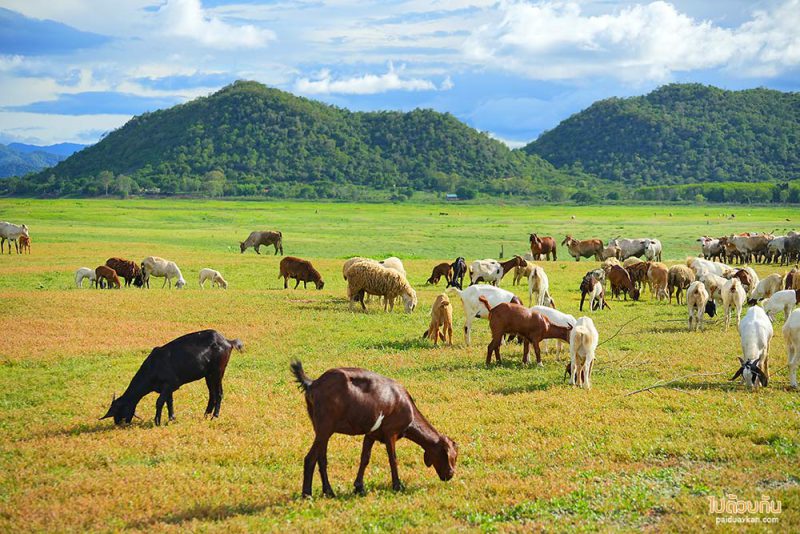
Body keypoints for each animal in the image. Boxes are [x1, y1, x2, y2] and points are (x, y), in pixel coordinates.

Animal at [99, 330, 241, 428]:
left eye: (118, 412)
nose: (118, 424)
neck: (153, 367)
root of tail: (228, 341)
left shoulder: (170, 383)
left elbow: (159, 401)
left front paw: (157, 421)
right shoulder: (167, 387)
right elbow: (169, 402)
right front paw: (171, 418)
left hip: (218, 371)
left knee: (219, 393)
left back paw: (215, 416)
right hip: (208, 374)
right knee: (212, 394)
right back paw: (206, 415)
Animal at [292, 362, 456, 500]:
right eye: (451, 456)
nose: (450, 474)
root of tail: (313, 383)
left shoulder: (371, 434)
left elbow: (365, 458)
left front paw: (359, 487)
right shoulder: (391, 432)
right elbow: (393, 458)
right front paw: (398, 486)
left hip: (320, 428)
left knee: (321, 458)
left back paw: (328, 491)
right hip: (325, 426)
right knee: (310, 458)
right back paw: (307, 494)